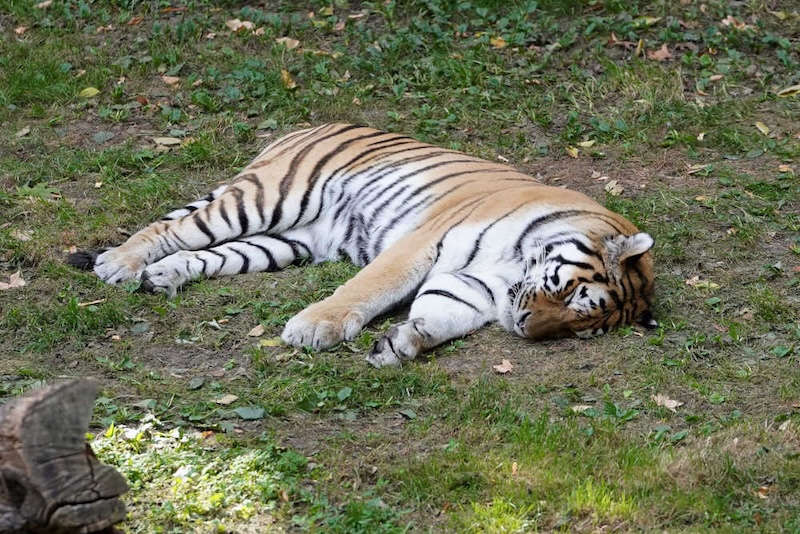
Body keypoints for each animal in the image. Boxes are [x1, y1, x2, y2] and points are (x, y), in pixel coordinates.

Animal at [69, 124, 656, 370]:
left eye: (577, 327)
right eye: (570, 296)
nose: (527, 331)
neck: (516, 268)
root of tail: (306, 125)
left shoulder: (470, 286)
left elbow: (437, 316)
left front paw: (402, 343)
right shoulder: (422, 244)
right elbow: (366, 290)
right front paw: (314, 329)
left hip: (285, 242)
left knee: (204, 254)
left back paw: (162, 276)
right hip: (265, 199)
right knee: (171, 229)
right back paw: (119, 265)